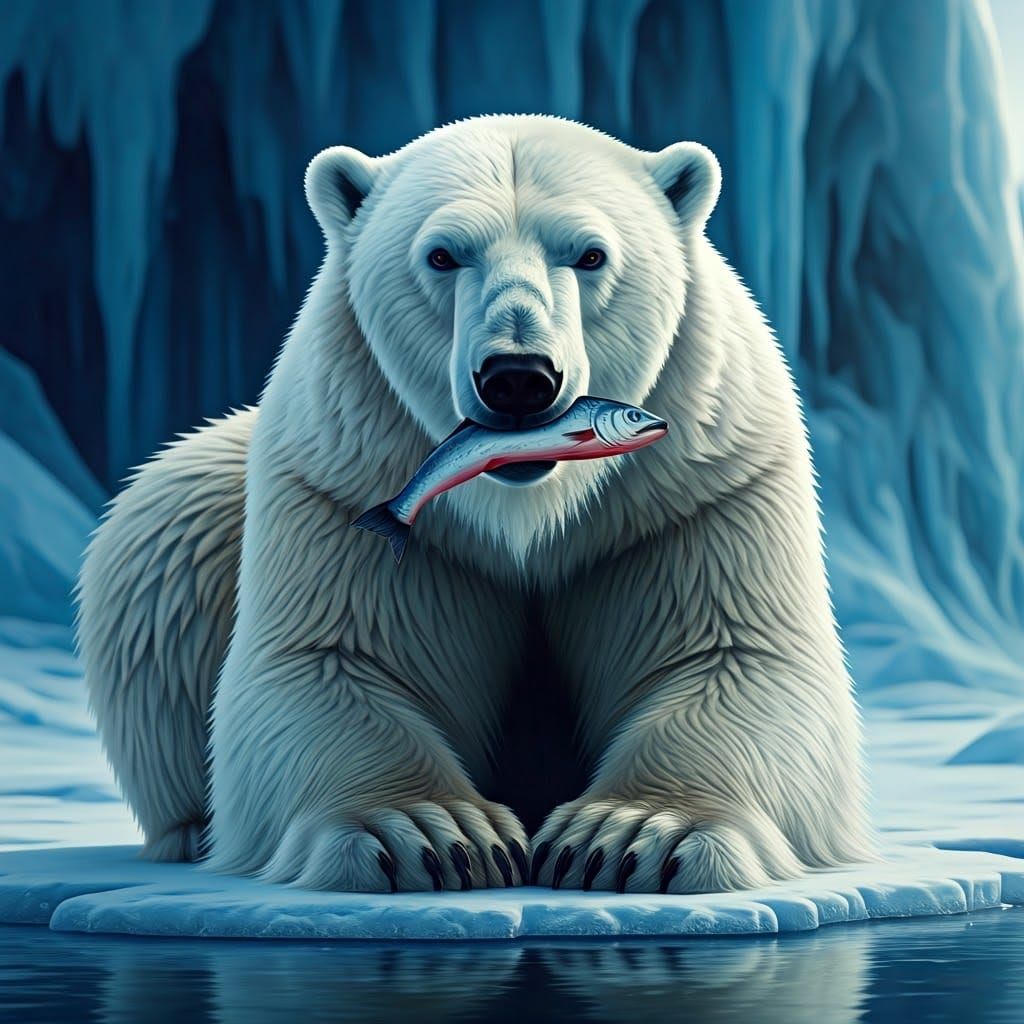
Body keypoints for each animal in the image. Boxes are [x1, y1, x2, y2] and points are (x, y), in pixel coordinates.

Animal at [76, 114, 872, 893]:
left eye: (590, 254)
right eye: (441, 255)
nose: (519, 376)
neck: (528, 507)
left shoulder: (697, 486)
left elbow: (740, 657)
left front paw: (634, 837)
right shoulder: (340, 476)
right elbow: (324, 660)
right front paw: (426, 835)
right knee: (165, 535)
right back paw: (190, 833)